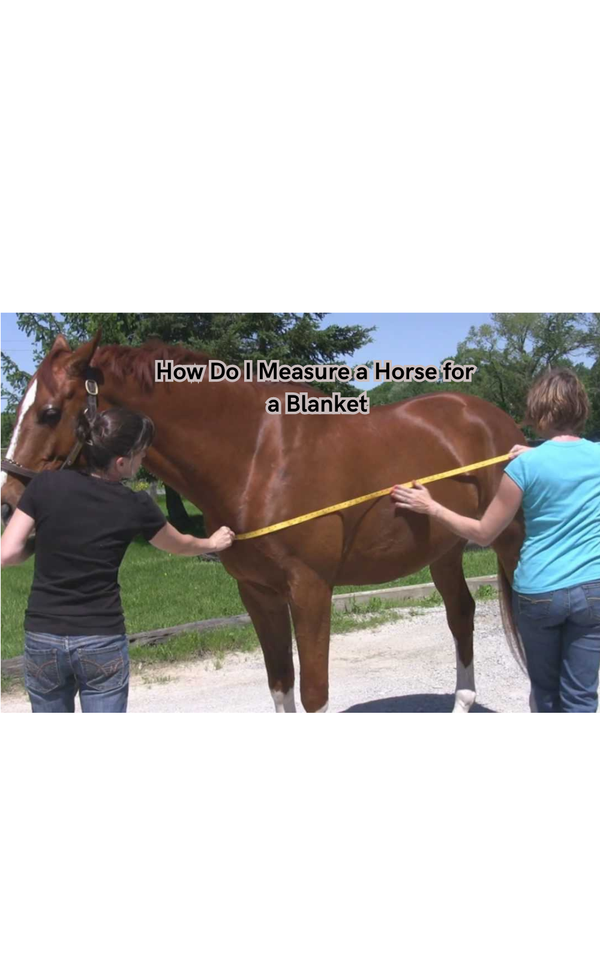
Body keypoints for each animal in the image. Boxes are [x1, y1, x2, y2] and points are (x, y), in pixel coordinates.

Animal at [1, 332, 526, 712]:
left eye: (49, 412)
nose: (8, 505)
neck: (259, 458)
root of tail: (493, 418)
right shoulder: (257, 593)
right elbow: (280, 686)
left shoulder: (311, 590)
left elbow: (313, 696)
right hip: (446, 550)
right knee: (460, 614)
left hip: (511, 543)